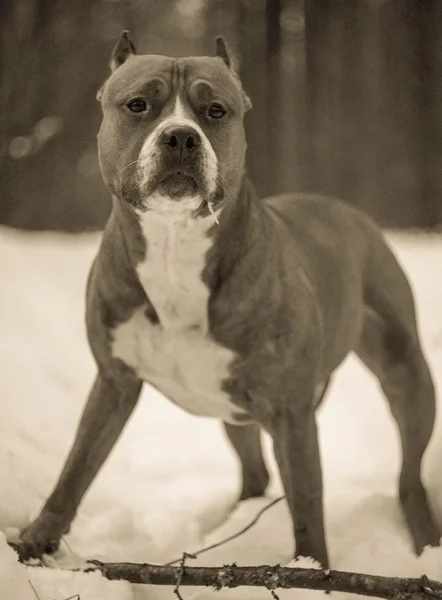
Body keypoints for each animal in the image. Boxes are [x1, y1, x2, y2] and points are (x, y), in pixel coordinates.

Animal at [13, 31, 438, 568]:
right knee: (255, 472)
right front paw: (37, 539)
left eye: (215, 110)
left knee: (409, 474)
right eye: (138, 105)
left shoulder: (291, 412)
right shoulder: (113, 381)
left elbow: (307, 503)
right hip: (235, 408)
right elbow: (77, 465)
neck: (174, 245)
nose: (181, 137)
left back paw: (423, 539)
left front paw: (311, 572)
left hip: (405, 372)